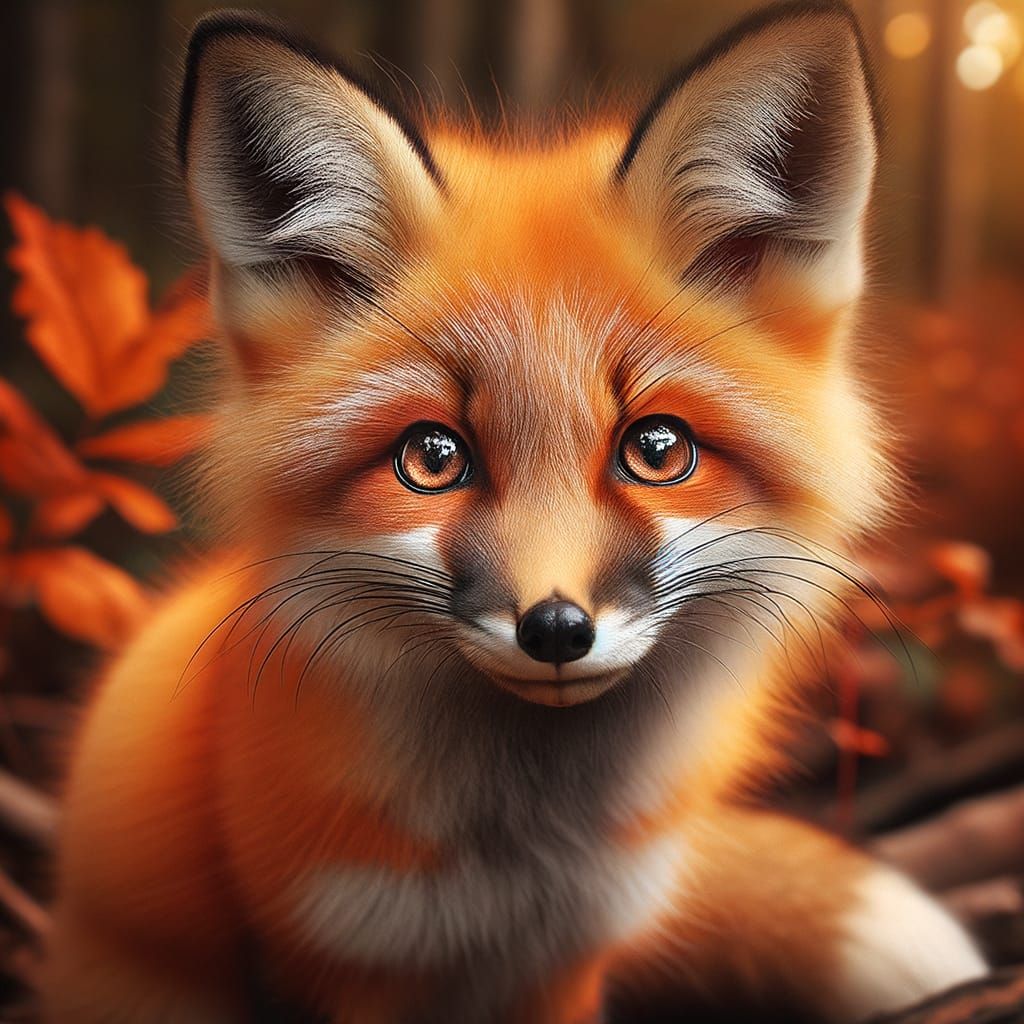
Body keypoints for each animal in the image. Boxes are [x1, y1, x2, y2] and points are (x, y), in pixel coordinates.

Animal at [43, 3, 988, 1022]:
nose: (557, 629)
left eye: (659, 451)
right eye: (433, 458)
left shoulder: (568, 960)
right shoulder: (349, 958)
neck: (522, 863)